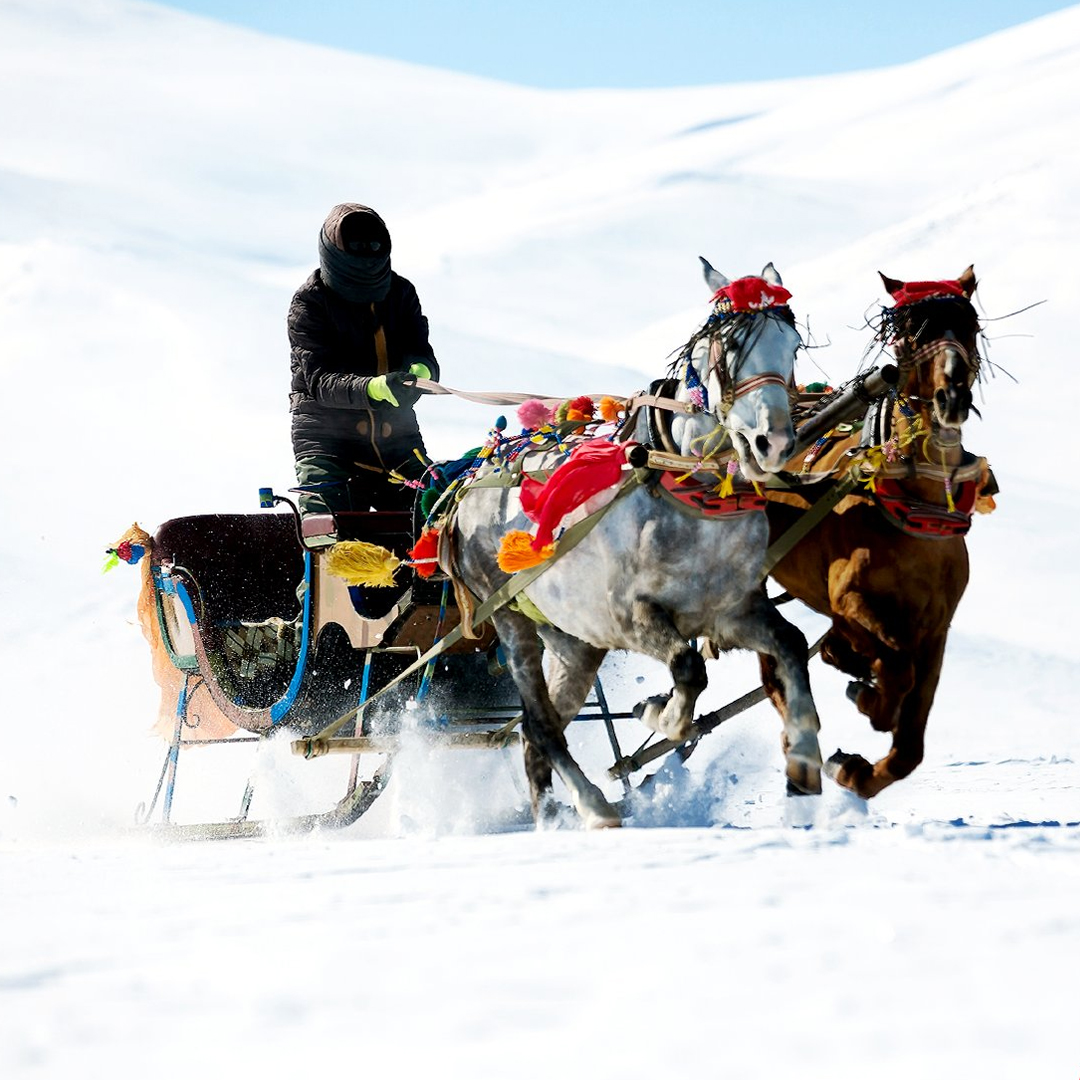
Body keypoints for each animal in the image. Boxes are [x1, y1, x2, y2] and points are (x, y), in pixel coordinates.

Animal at [438, 261, 816, 825]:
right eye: (730, 346)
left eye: (792, 346)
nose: (775, 444)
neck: (686, 492)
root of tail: (467, 489)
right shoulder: (629, 618)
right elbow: (689, 670)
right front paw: (657, 712)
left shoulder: (733, 610)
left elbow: (790, 645)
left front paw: (807, 764)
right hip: (511, 619)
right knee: (541, 724)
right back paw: (593, 806)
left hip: (574, 641)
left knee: (536, 729)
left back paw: (551, 816)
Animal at [760, 265, 993, 799]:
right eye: (910, 334)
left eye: (969, 325)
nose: (952, 396)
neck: (919, 508)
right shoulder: (850, 599)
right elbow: (894, 668)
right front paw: (868, 700)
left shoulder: (935, 629)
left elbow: (909, 748)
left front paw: (856, 770)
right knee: (774, 667)